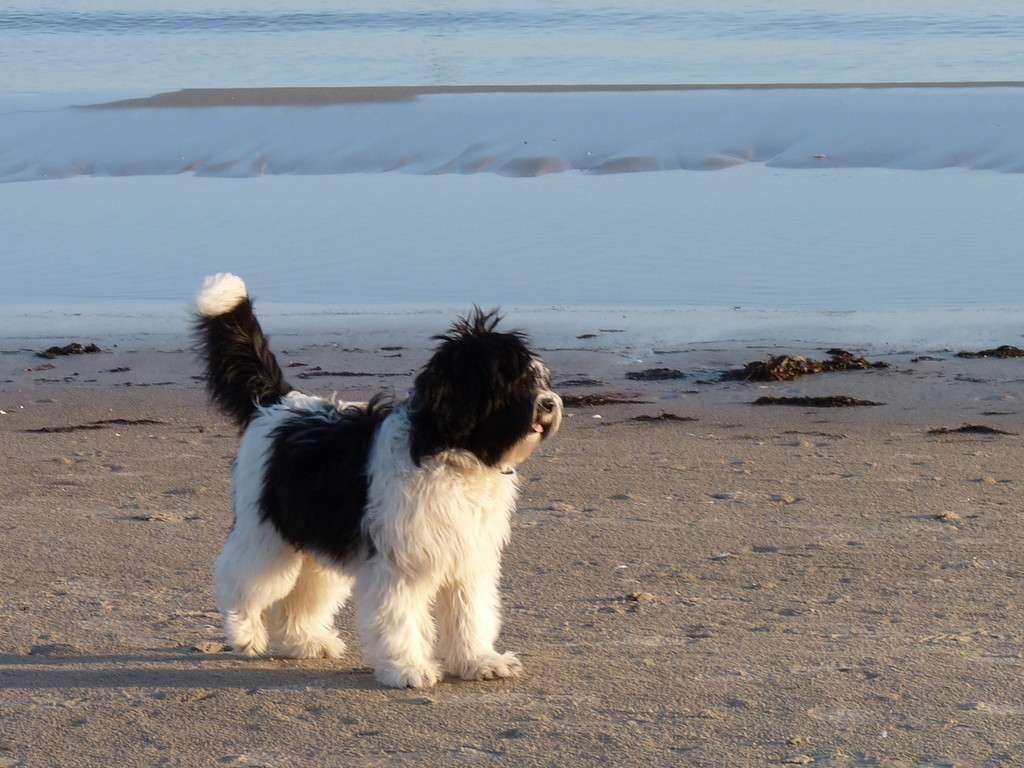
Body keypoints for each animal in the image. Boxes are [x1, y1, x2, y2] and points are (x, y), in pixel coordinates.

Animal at [190, 274, 561, 692]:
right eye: (512, 382)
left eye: (539, 379)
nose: (549, 403)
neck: (447, 451)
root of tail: (279, 404)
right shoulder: (399, 564)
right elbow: (402, 619)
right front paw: (409, 668)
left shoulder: (468, 560)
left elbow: (470, 615)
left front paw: (480, 660)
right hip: (268, 535)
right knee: (240, 578)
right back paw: (245, 633)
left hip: (319, 543)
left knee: (305, 594)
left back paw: (306, 641)